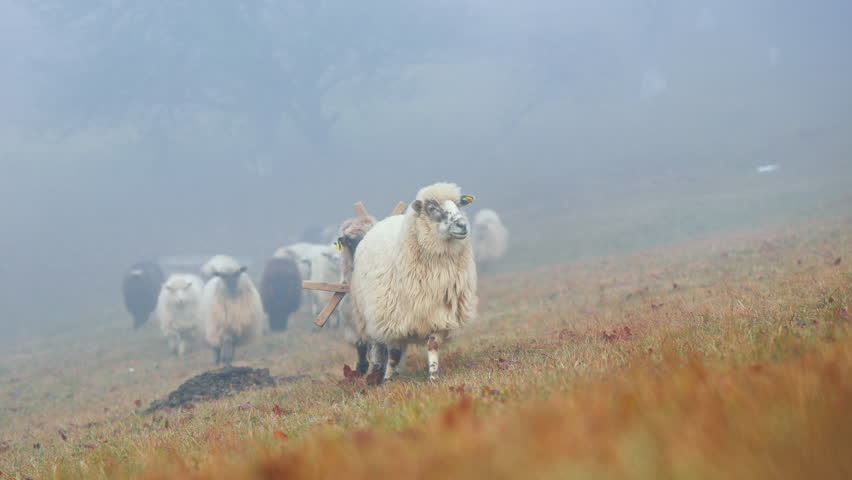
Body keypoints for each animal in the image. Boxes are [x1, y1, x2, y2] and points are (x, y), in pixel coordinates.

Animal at [351, 182, 477, 381]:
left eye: (459, 204)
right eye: (432, 208)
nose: (462, 225)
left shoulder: (437, 313)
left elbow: (432, 345)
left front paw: (433, 376)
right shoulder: (391, 317)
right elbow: (393, 353)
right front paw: (387, 380)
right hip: (368, 313)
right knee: (377, 345)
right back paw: (377, 370)